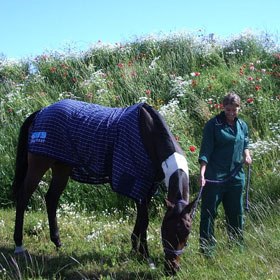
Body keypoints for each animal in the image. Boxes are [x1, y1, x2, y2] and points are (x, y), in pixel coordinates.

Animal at [12, 99, 194, 274]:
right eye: (165, 231)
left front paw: (135, 249)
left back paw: (57, 242)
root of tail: (40, 112)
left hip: (61, 167)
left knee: (51, 199)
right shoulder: (138, 185)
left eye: (186, 234)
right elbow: (144, 220)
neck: (148, 133)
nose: (172, 269)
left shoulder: (148, 188)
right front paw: (146, 257)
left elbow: (141, 219)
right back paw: (19, 245)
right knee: (23, 197)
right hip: (38, 165)